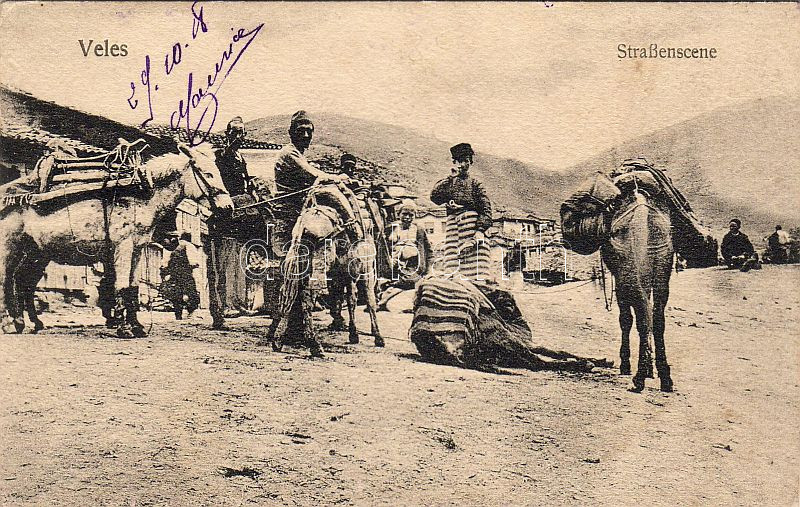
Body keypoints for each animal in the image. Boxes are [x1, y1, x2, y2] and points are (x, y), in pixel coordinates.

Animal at [0, 144, 233, 337]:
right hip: (10, 247)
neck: (140, 194)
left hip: (34, 252)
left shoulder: (137, 249)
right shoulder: (123, 247)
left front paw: (136, 326)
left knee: (22, 281)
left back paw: (26, 322)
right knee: (6, 279)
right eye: (208, 174)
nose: (228, 208)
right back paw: (9, 323)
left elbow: (133, 287)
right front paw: (123, 327)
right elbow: (120, 285)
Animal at [265, 183, 383, 356]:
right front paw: (377, 337)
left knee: (289, 294)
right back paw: (314, 345)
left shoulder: (344, 275)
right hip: (319, 267)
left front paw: (353, 333)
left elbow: (350, 300)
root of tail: (304, 224)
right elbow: (368, 301)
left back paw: (278, 340)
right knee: (307, 297)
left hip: (299, 261)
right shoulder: (366, 271)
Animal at [600, 189, 674, 392]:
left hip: (628, 274)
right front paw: (651, 370)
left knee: (640, 317)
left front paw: (626, 364)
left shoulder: (621, 279)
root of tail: (642, 212)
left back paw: (639, 377)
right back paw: (665, 377)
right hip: (662, 266)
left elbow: (625, 320)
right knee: (656, 319)